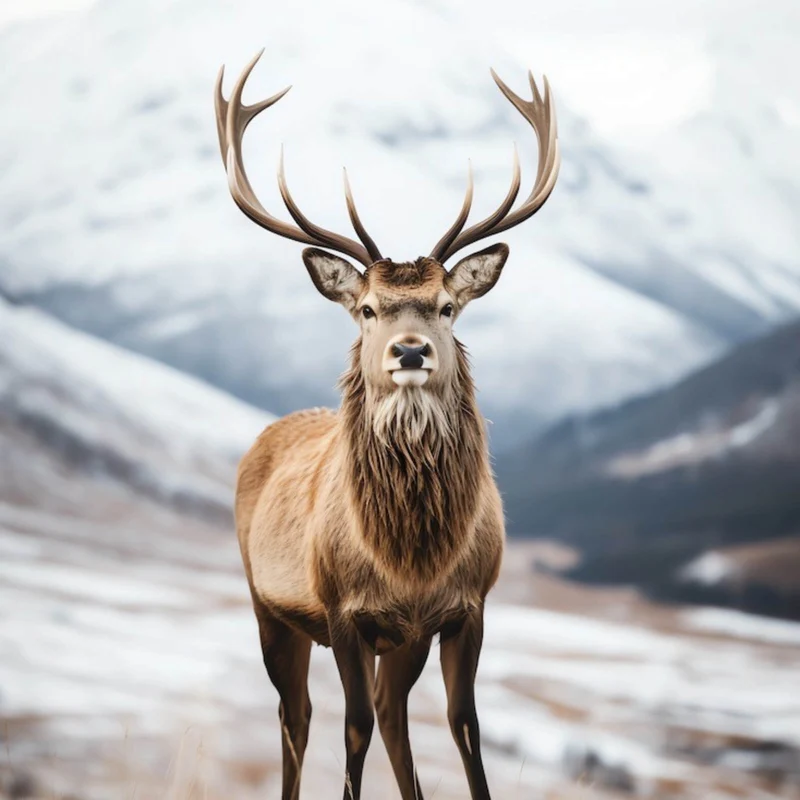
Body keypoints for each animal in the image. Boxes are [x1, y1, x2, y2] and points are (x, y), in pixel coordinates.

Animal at [215, 50, 559, 800]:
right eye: (368, 308)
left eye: (447, 306)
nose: (409, 351)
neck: (410, 557)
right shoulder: (342, 608)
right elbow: (353, 730)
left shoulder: (465, 607)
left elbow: (464, 729)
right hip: (268, 605)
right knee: (298, 717)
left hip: (403, 640)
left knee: (393, 712)